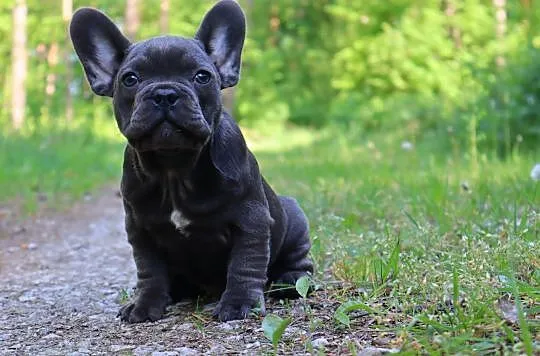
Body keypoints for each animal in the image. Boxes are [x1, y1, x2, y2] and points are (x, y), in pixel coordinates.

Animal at [68, 0, 312, 322]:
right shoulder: (140, 230)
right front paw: (146, 303)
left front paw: (239, 303)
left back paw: (289, 281)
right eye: (130, 79)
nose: (165, 92)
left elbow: (245, 263)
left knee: (298, 262)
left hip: (295, 220)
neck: (174, 167)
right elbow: (149, 269)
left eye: (202, 76)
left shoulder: (251, 221)